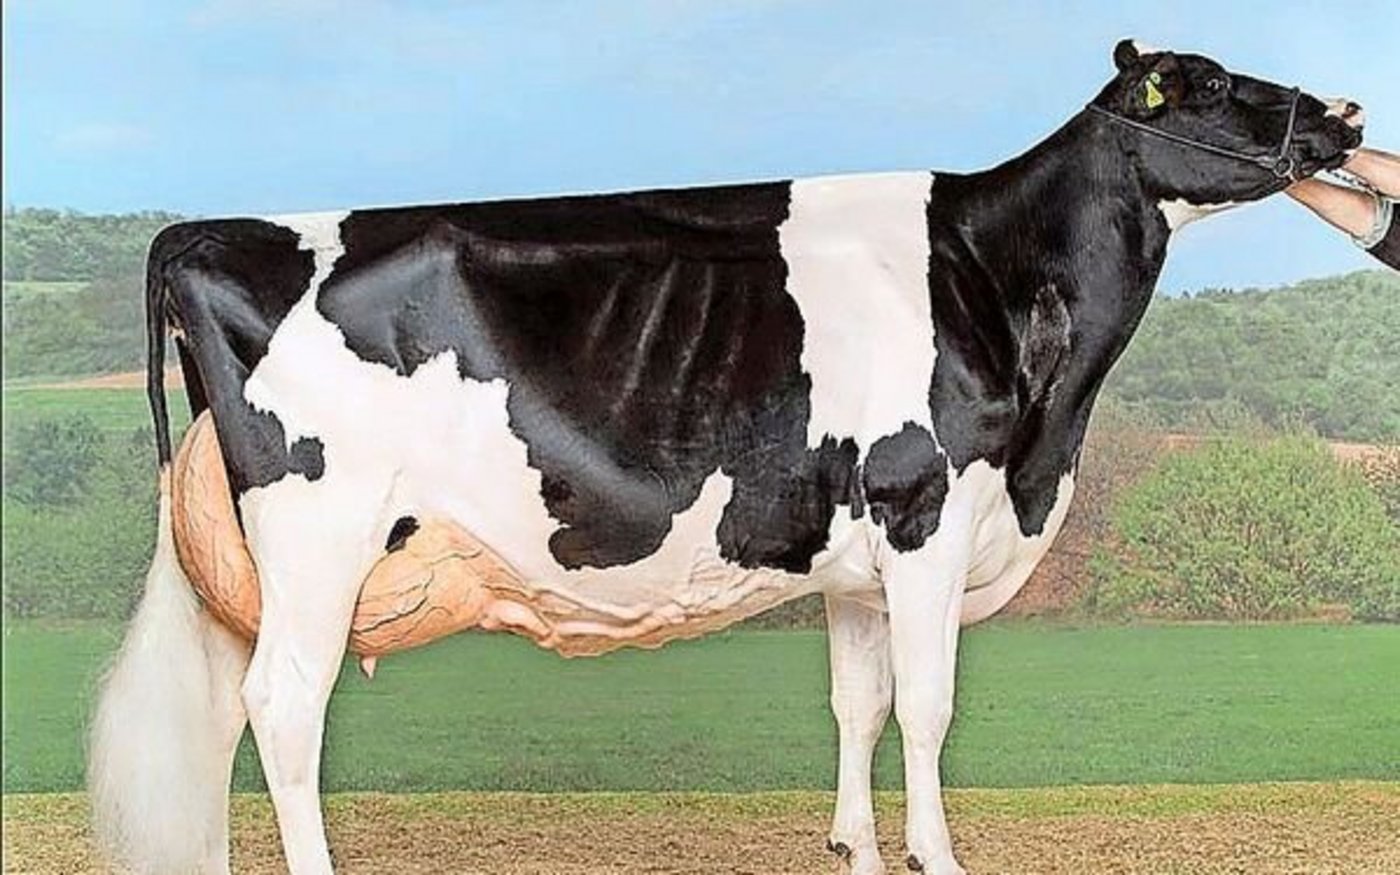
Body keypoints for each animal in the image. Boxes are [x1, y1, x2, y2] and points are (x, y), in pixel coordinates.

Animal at [89, 40, 1363, 875]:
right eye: (1215, 87)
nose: (1348, 111)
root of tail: (204, 231)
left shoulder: (856, 550)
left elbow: (858, 701)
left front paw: (854, 846)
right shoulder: (925, 508)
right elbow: (927, 705)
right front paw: (933, 853)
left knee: (233, 707)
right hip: (319, 525)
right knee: (282, 702)